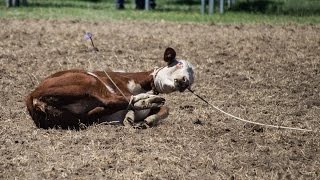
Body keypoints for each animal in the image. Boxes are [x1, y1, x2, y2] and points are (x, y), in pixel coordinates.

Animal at [25, 47, 194, 129]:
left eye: (193, 78)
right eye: (179, 64)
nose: (184, 82)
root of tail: (32, 96)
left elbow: (165, 109)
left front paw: (148, 119)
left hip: (74, 117)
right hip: (90, 81)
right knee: (112, 100)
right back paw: (145, 101)